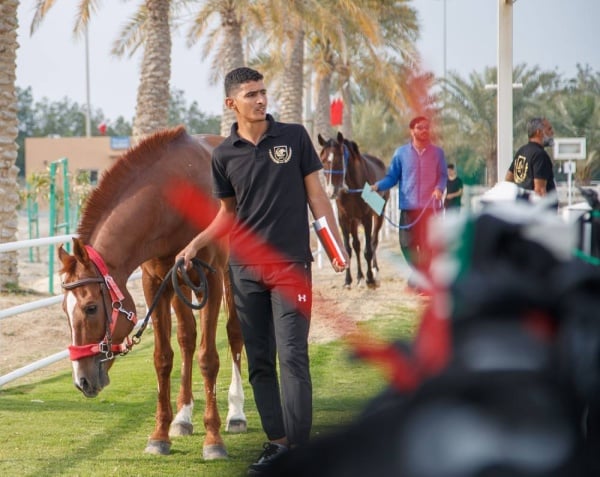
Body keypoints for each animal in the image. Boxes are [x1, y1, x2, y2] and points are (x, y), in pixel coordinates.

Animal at [55, 125, 244, 458]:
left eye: (91, 308)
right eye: (65, 310)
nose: (81, 380)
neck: (172, 201)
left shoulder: (210, 280)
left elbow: (209, 358)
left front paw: (213, 439)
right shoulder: (156, 282)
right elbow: (163, 357)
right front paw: (160, 434)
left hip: (228, 275)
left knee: (234, 332)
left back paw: (236, 413)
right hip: (181, 284)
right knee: (187, 338)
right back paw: (183, 417)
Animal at [316, 131, 392, 286]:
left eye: (339, 160)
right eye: (323, 160)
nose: (331, 191)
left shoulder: (367, 217)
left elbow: (368, 250)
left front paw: (370, 278)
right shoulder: (344, 219)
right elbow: (348, 249)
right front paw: (348, 280)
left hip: (378, 216)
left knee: (374, 241)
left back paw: (374, 271)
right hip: (354, 221)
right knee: (356, 245)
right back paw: (359, 277)